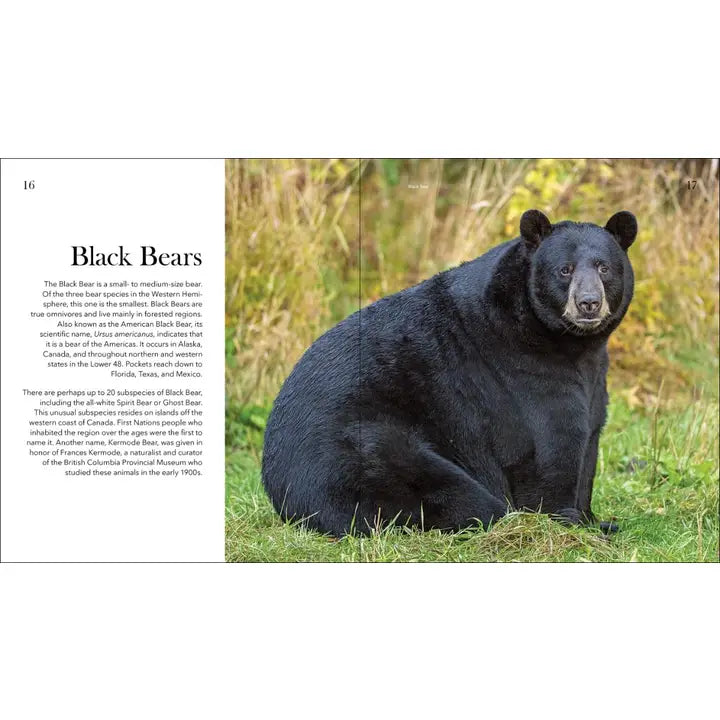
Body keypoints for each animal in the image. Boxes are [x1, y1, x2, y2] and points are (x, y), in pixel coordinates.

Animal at [261, 209, 637, 537]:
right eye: (565, 270)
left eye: (604, 268)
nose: (588, 303)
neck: (568, 344)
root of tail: (283, 493)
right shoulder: (523, 373)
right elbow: (552, 446)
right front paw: (567, 521)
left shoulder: (591, 377)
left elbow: (589, 439)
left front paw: (593, 518)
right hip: (364, 453)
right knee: (451, 492)